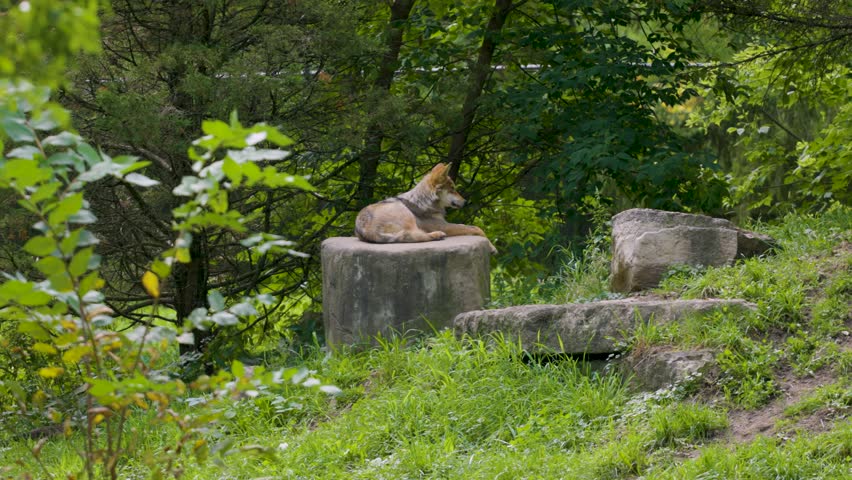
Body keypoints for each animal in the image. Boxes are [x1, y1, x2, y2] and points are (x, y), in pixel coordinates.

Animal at [354, 163, 496, 253]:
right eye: (452, 189)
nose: (466, 202)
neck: (426, 201)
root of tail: (366, 229)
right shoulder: (443, 225)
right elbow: (476, 228)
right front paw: (492, 247)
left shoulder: (445, 223)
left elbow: (472, 227)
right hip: (405, 213)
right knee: (414, 235)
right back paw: (437, 235)